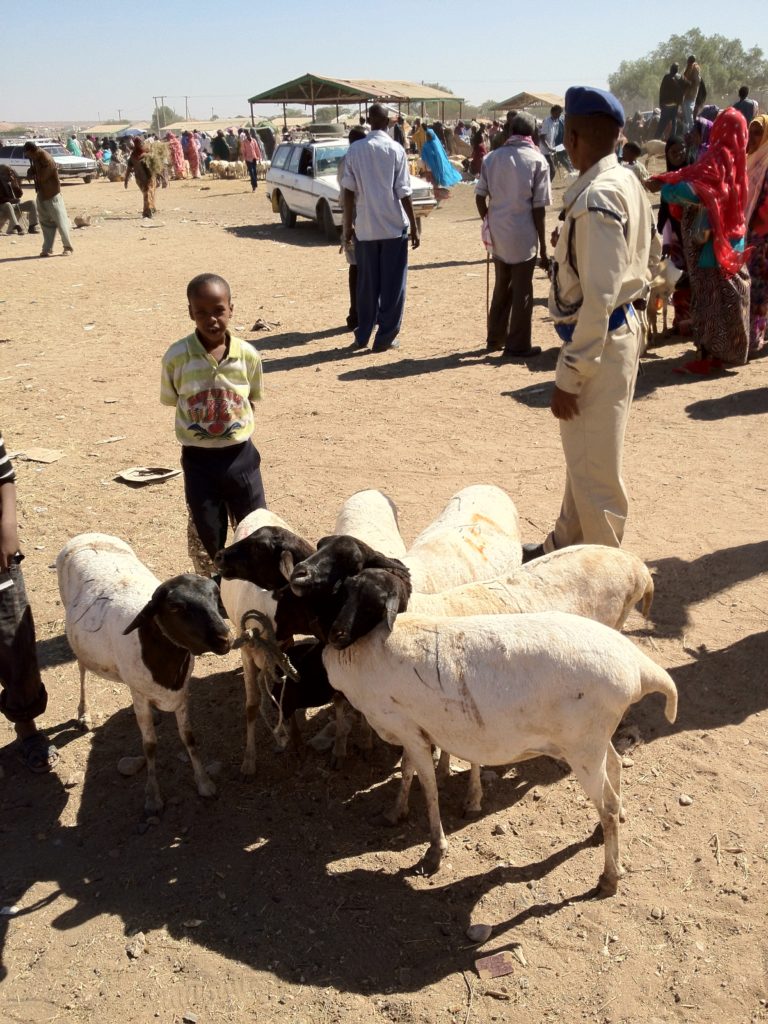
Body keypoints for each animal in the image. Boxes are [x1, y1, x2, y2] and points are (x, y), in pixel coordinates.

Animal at [56, 533, 231, 813]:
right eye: (175, 607)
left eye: (216, 595)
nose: (224, 639)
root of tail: (88, 535)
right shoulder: (139, 693)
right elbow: (150, 746)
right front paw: (153, 796)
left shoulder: (181, 694)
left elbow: (189, 738)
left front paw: (204, 783)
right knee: (82, 669)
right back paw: (84, 713)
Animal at [319, 605, 678, 893]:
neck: (360, 654)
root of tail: (639, 668)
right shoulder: (415, 729)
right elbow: (408, 771)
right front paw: (395, 813)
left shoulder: (408, 729)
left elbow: (429, 787)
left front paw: (435, 851)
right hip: (593, 742)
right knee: (615, 769)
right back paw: (599, 835)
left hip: (584, 748)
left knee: (609, 805)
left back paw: (608, 878)